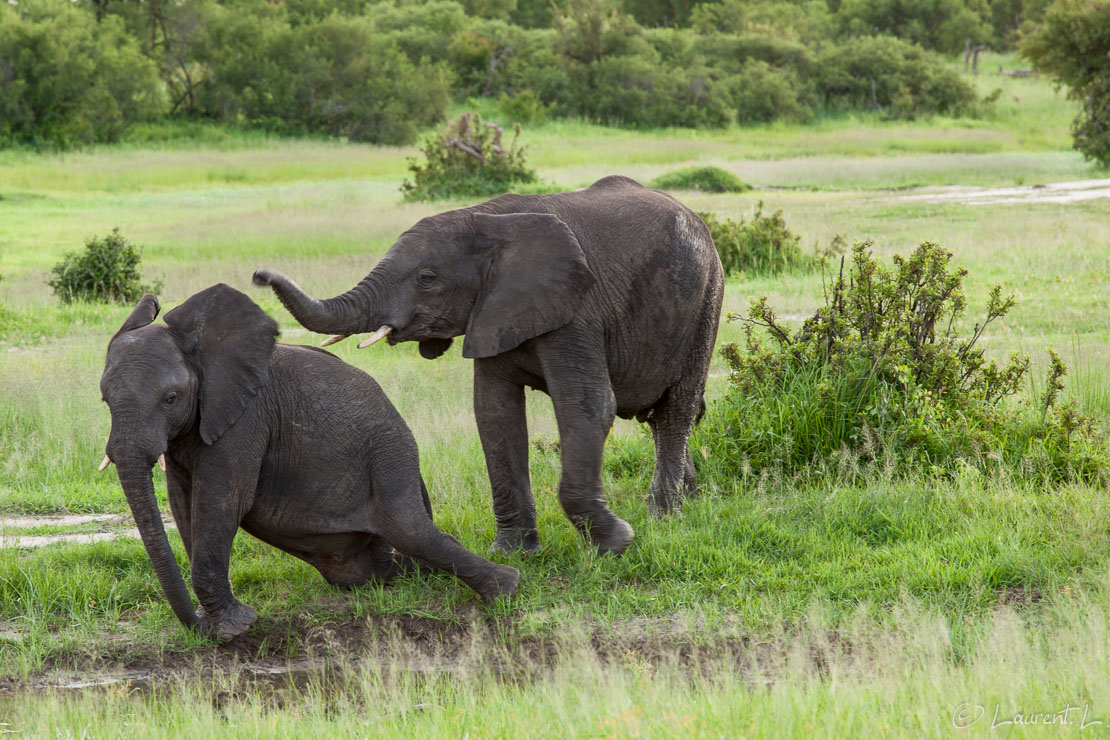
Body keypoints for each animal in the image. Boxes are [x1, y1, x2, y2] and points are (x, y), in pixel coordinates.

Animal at [97, 284, 517, 643]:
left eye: (170, 398)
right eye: (104, 400)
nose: (199, 627)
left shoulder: (247, 417)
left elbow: (221, 503)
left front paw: (235, 628)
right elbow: (185, 507)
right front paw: (218, 623)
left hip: (389, 448)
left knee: (408, 527)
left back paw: (507, 586)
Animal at [257, 175, 728, 554]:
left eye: (427, 278)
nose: (260, 276)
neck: (486, 220)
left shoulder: (578, 308)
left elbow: (587, 404)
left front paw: (616, 543)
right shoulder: (492, 309)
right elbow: (494, 413)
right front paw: (514, 552)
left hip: (708, 298)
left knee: (676, 409)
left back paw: (664, 518)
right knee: (665, 417)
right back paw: (689, 498)